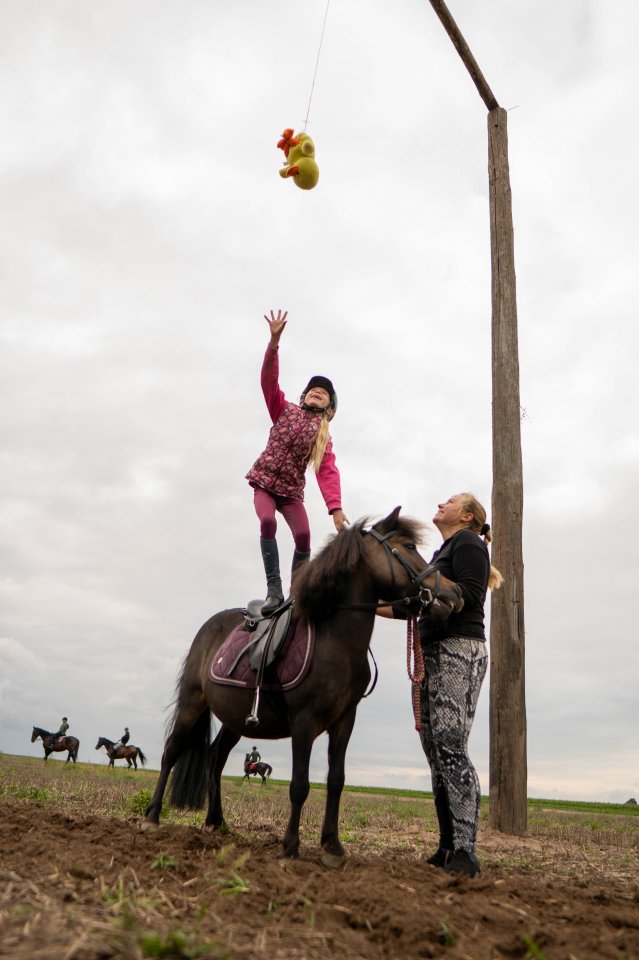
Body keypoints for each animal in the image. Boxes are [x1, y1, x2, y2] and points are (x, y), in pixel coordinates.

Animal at [142, 510, 462, 872]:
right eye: (408, 546)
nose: (454, 592)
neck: (334, 639)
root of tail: (210, 627)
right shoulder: (304, 723)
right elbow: (299, 785)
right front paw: (291, 847)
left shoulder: (344, 721)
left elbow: (336, 781)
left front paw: (332, 846)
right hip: (192, 702)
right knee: (171, 752)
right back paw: (152, 817)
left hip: (234, 722)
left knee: (215, 760)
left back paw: (217, 821)